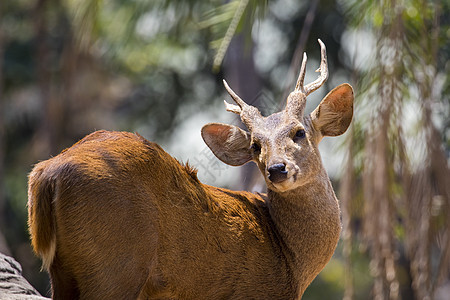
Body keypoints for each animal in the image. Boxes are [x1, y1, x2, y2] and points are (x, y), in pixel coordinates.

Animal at [27, 40, 356, 300]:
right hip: (116, 265)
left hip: (64, 272)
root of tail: (48, 172)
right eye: (255, 146)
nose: (277, 169)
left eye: (299, 132)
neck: (289, 260)